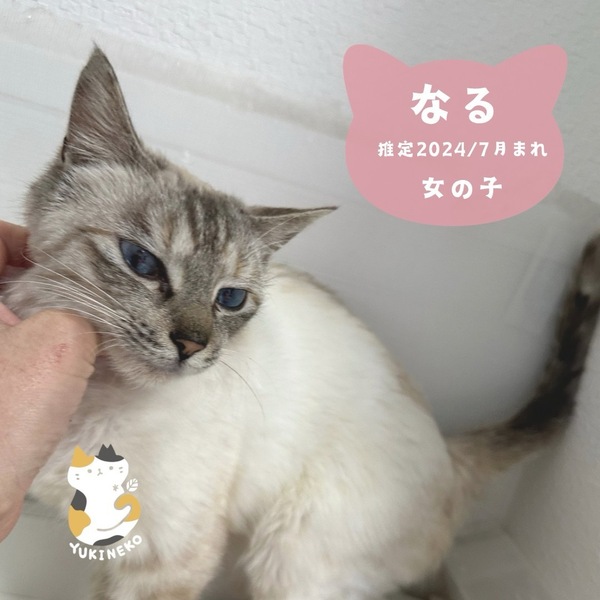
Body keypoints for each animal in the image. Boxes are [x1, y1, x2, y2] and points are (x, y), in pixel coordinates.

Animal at [2, 47, 600, 600]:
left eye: (230, 299)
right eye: (141, 262)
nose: (191, 345)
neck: (98, 399)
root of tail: (448, 451)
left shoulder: (166, 560)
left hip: (289, 563)